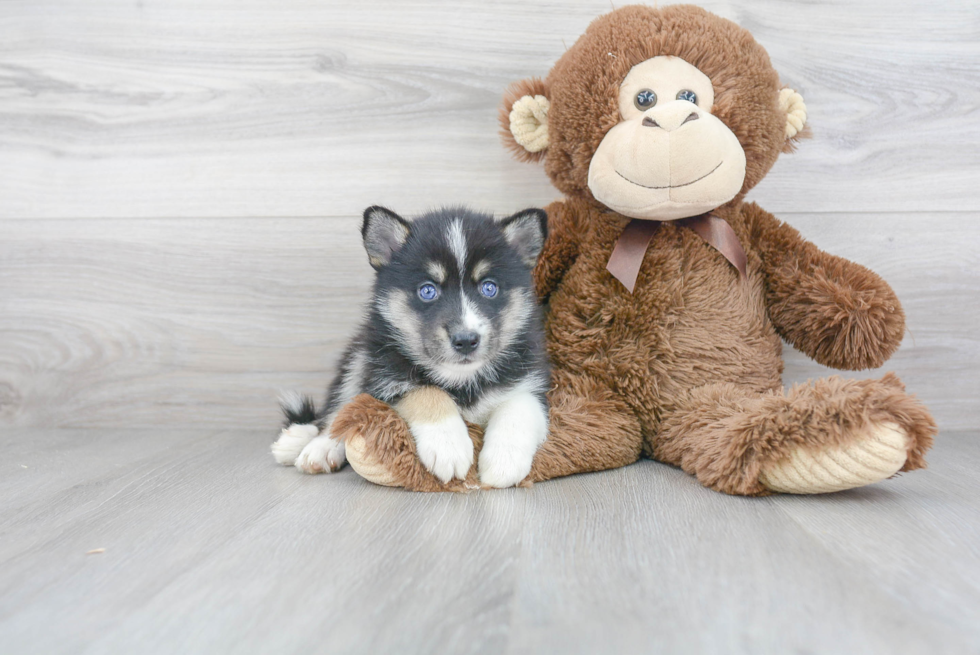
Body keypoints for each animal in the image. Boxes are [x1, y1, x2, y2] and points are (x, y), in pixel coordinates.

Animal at [272, 208, 552, 490]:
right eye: (427, 291)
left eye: (489, 287)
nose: (465, 340)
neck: (460, 380)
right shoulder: (387, 377)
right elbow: (427, 391)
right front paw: (449, 446)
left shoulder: (530, 378)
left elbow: (520, 406)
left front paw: (504, 461)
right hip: (359, 357)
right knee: (338, 410)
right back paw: (314, 445)